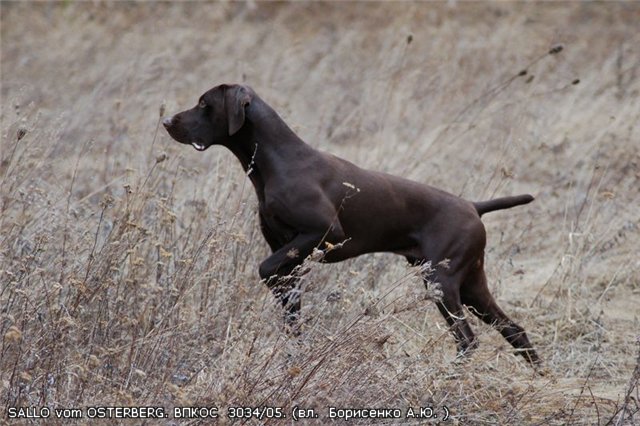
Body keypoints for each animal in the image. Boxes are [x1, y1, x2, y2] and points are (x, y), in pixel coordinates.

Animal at [164, 83, 540, 366]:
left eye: (204, 104)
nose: (166, 120)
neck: (277, 161)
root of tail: (473, 206)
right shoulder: (289, 254)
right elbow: (290, 312)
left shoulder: (323, 233)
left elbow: (265, 268)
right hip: (471, 286)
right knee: (515, 330)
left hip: (442, 281)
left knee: (468, 339)